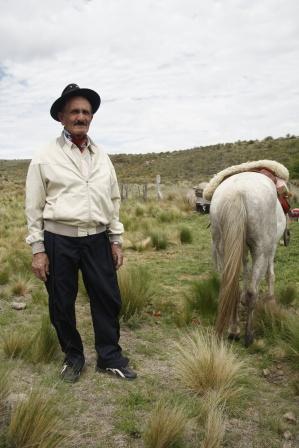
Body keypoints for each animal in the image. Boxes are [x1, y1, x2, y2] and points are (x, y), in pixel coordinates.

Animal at [209, 172, 288, 346]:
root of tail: (237, 192)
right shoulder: (272, 247)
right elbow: (270, 275)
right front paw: (271, 301)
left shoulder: (241, 251)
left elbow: (245, 274)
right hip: (261, 250)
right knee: (253, 291)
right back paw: (248, 335)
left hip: (223, 248)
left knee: (232, 288)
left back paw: (234, 329)